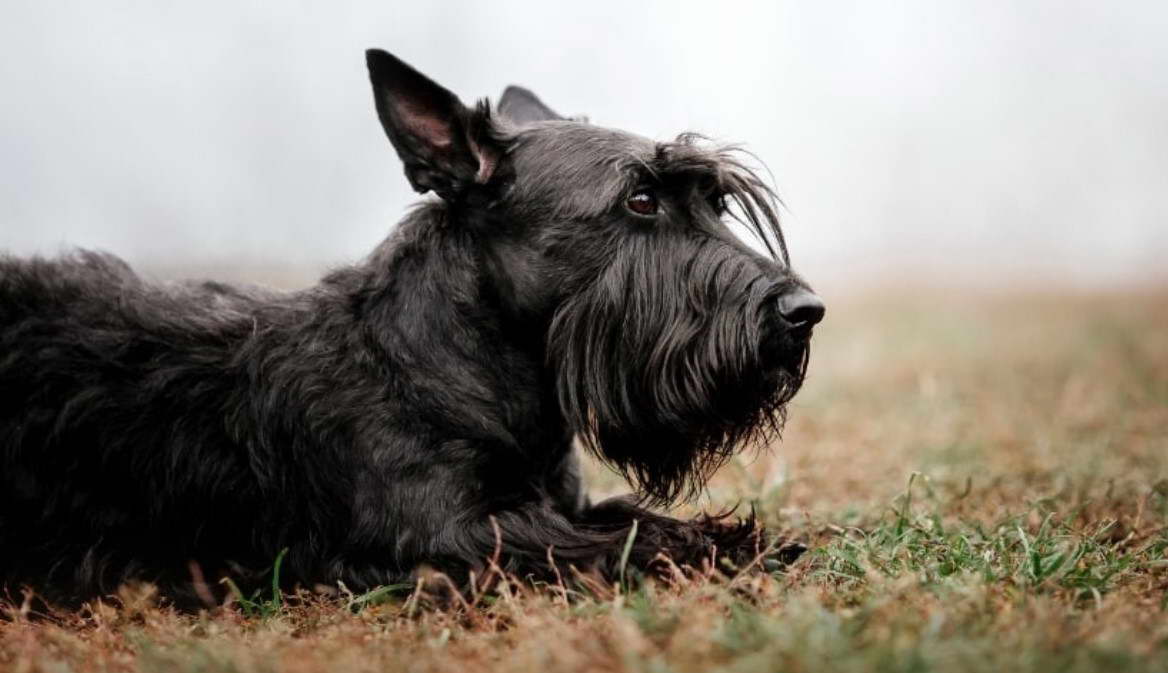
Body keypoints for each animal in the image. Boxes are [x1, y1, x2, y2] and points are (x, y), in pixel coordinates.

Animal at [0, 51, 822, 602]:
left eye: (715, 200)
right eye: (640, 200)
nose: (803, 312)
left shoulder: (557, 503)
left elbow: (623, 514)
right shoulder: (446, 538)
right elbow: (622, 539)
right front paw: (726, 546)